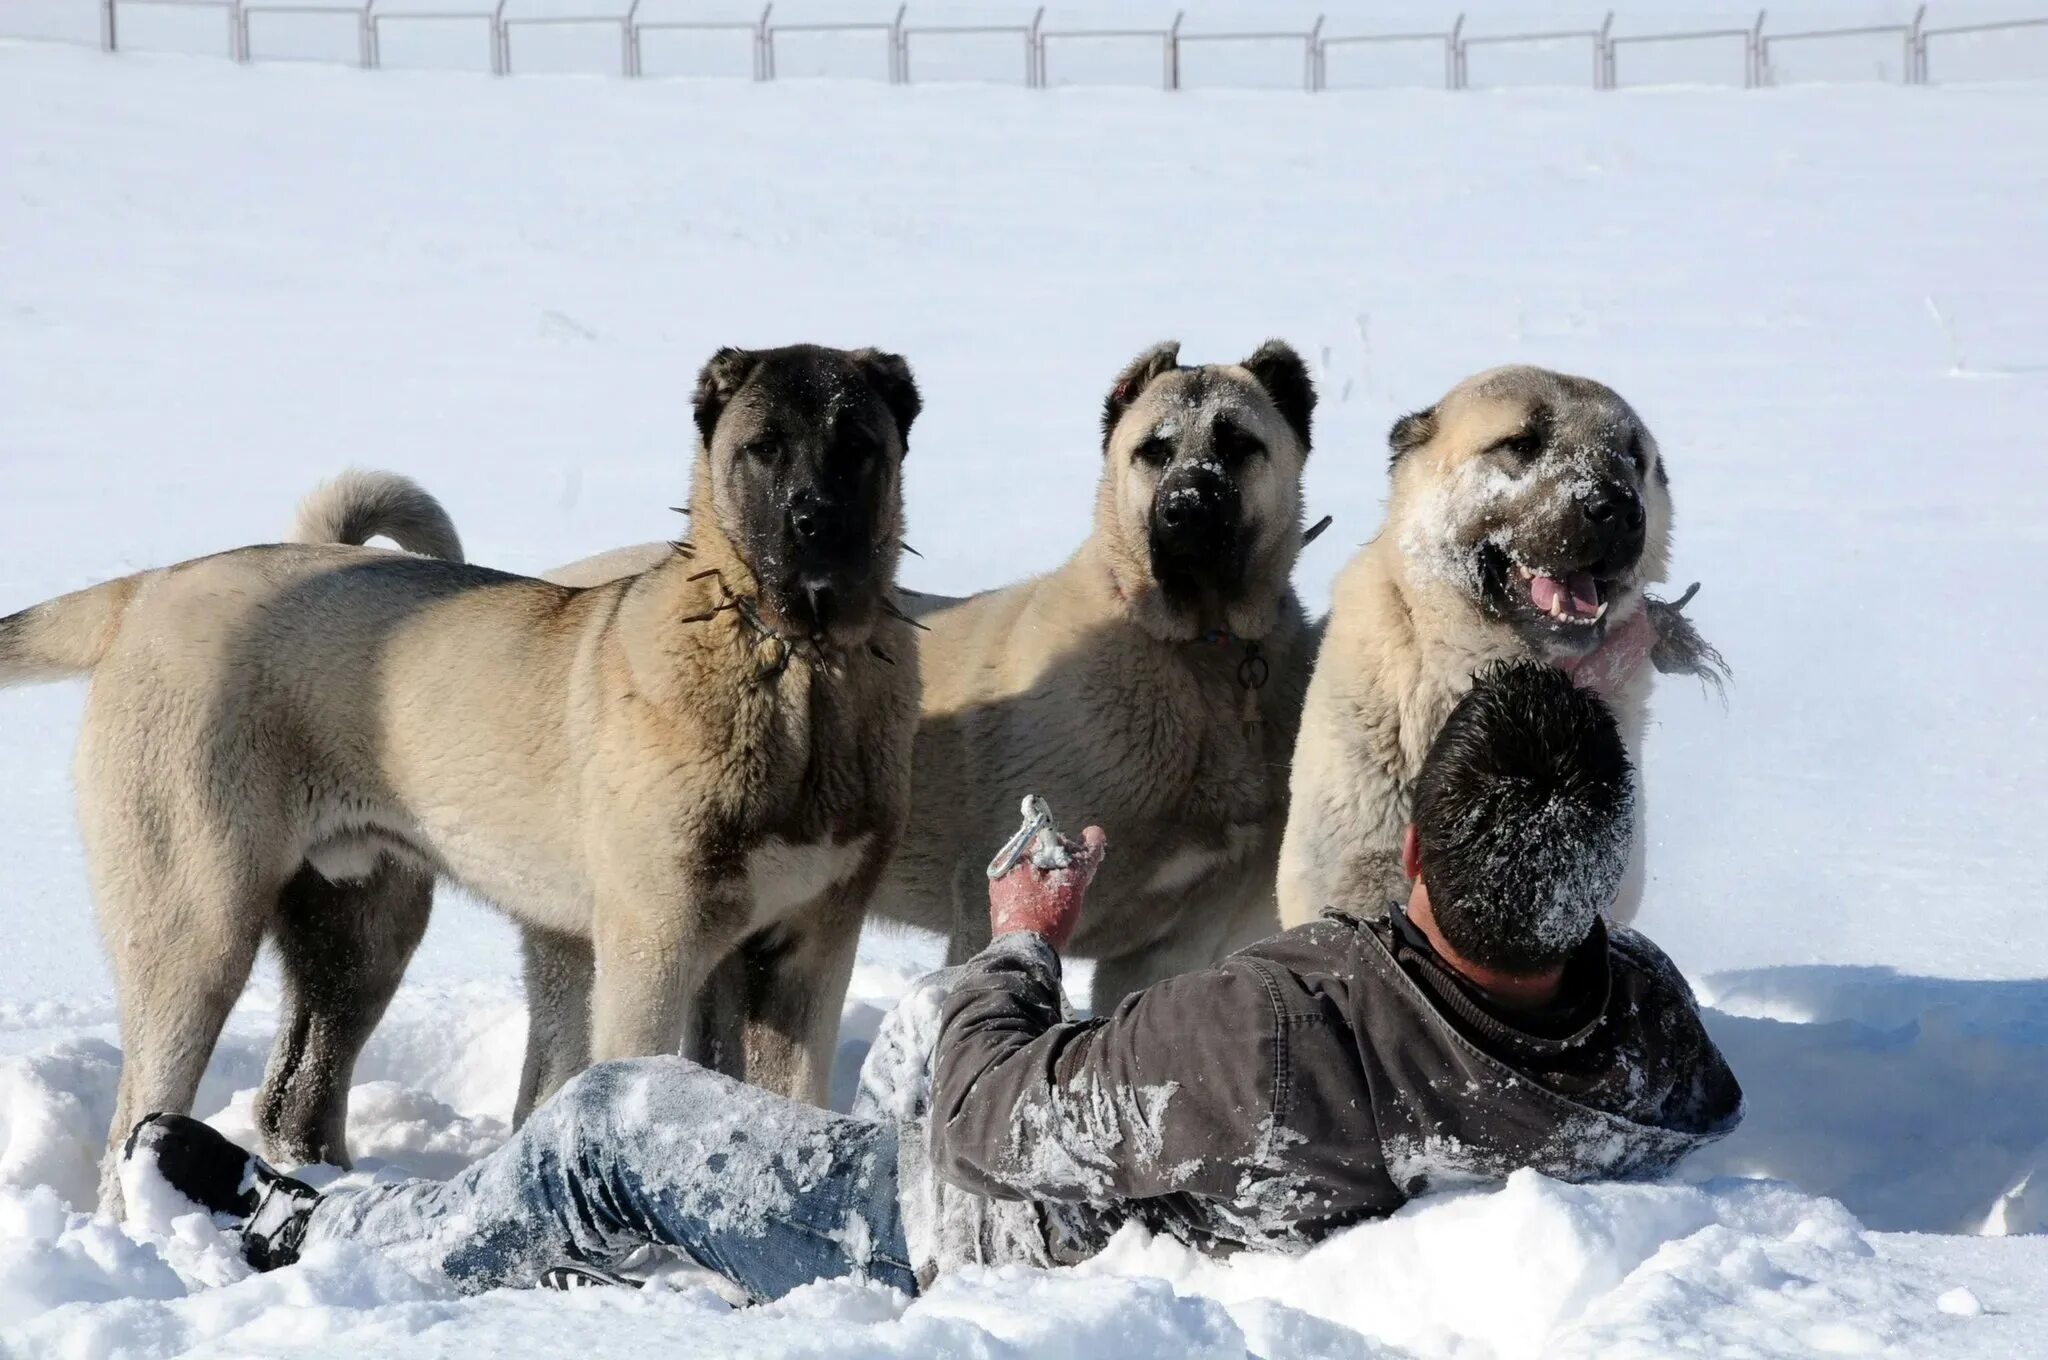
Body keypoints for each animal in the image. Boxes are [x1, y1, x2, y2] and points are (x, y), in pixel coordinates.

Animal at [0, 346, 925, 1204]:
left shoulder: (809, 949)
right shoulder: (656, 944)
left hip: (361, 932)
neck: (797, 671)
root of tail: (148, 591)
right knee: (138, 1121)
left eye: (856, 447)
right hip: (197, 929)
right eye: (763, 447)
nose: (814, 520)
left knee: (296, 1097)